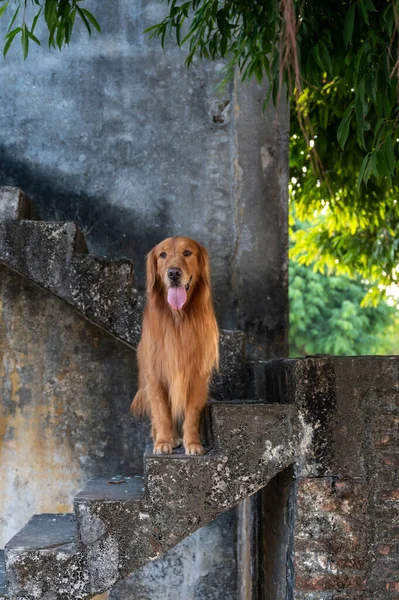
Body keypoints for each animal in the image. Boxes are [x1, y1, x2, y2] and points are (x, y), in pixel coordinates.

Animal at [131, 238, 219, 454]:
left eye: (187, 252)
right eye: (162, 255)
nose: (173, 273)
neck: (178, 319)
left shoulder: (198, 374)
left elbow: (192, 414)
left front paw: (193, 443)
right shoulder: (155, 375)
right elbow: (162, 413)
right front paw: (163, 442)